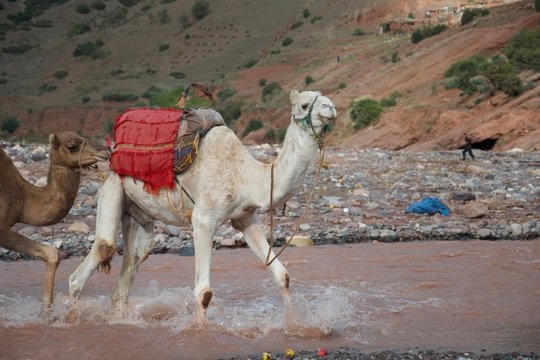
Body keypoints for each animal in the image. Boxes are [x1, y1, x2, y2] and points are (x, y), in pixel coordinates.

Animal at [0, 132, 109, 310]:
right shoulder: (1, 228)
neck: (22, 196)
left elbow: (52, 254)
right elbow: (52, 254)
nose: (105, 150)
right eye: (72, 146)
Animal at [69, 90, 336, 324]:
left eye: (324, 97)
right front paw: (200, 330)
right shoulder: (203, 219)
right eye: (304, 104)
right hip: (113, 187)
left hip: (138, 211)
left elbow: (283, 276)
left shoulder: (246, 218)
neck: (246, 174)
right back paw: (69, 316)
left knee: (133, 263)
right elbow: (204, 293)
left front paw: (296, 324)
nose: (330, 108)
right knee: (98, 253)